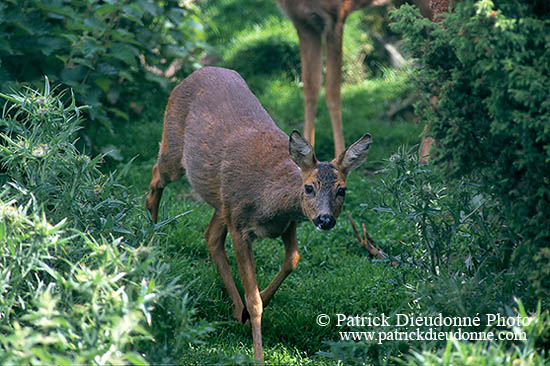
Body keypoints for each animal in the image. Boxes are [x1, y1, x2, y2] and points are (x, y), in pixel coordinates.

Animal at [146, 67, 376, 362]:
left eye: (342, 190)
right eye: (309, 187)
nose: (325, 220)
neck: (270, 202)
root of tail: (197, 72)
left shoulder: (288, 223)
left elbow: (292, 260)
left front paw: (250, 310)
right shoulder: (240, 226)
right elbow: (254, 299)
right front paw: (258, 355)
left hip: (222, 201)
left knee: (210, 236)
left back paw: (235, 309)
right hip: (175, 151)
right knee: (156, 177)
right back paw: (150, 239)